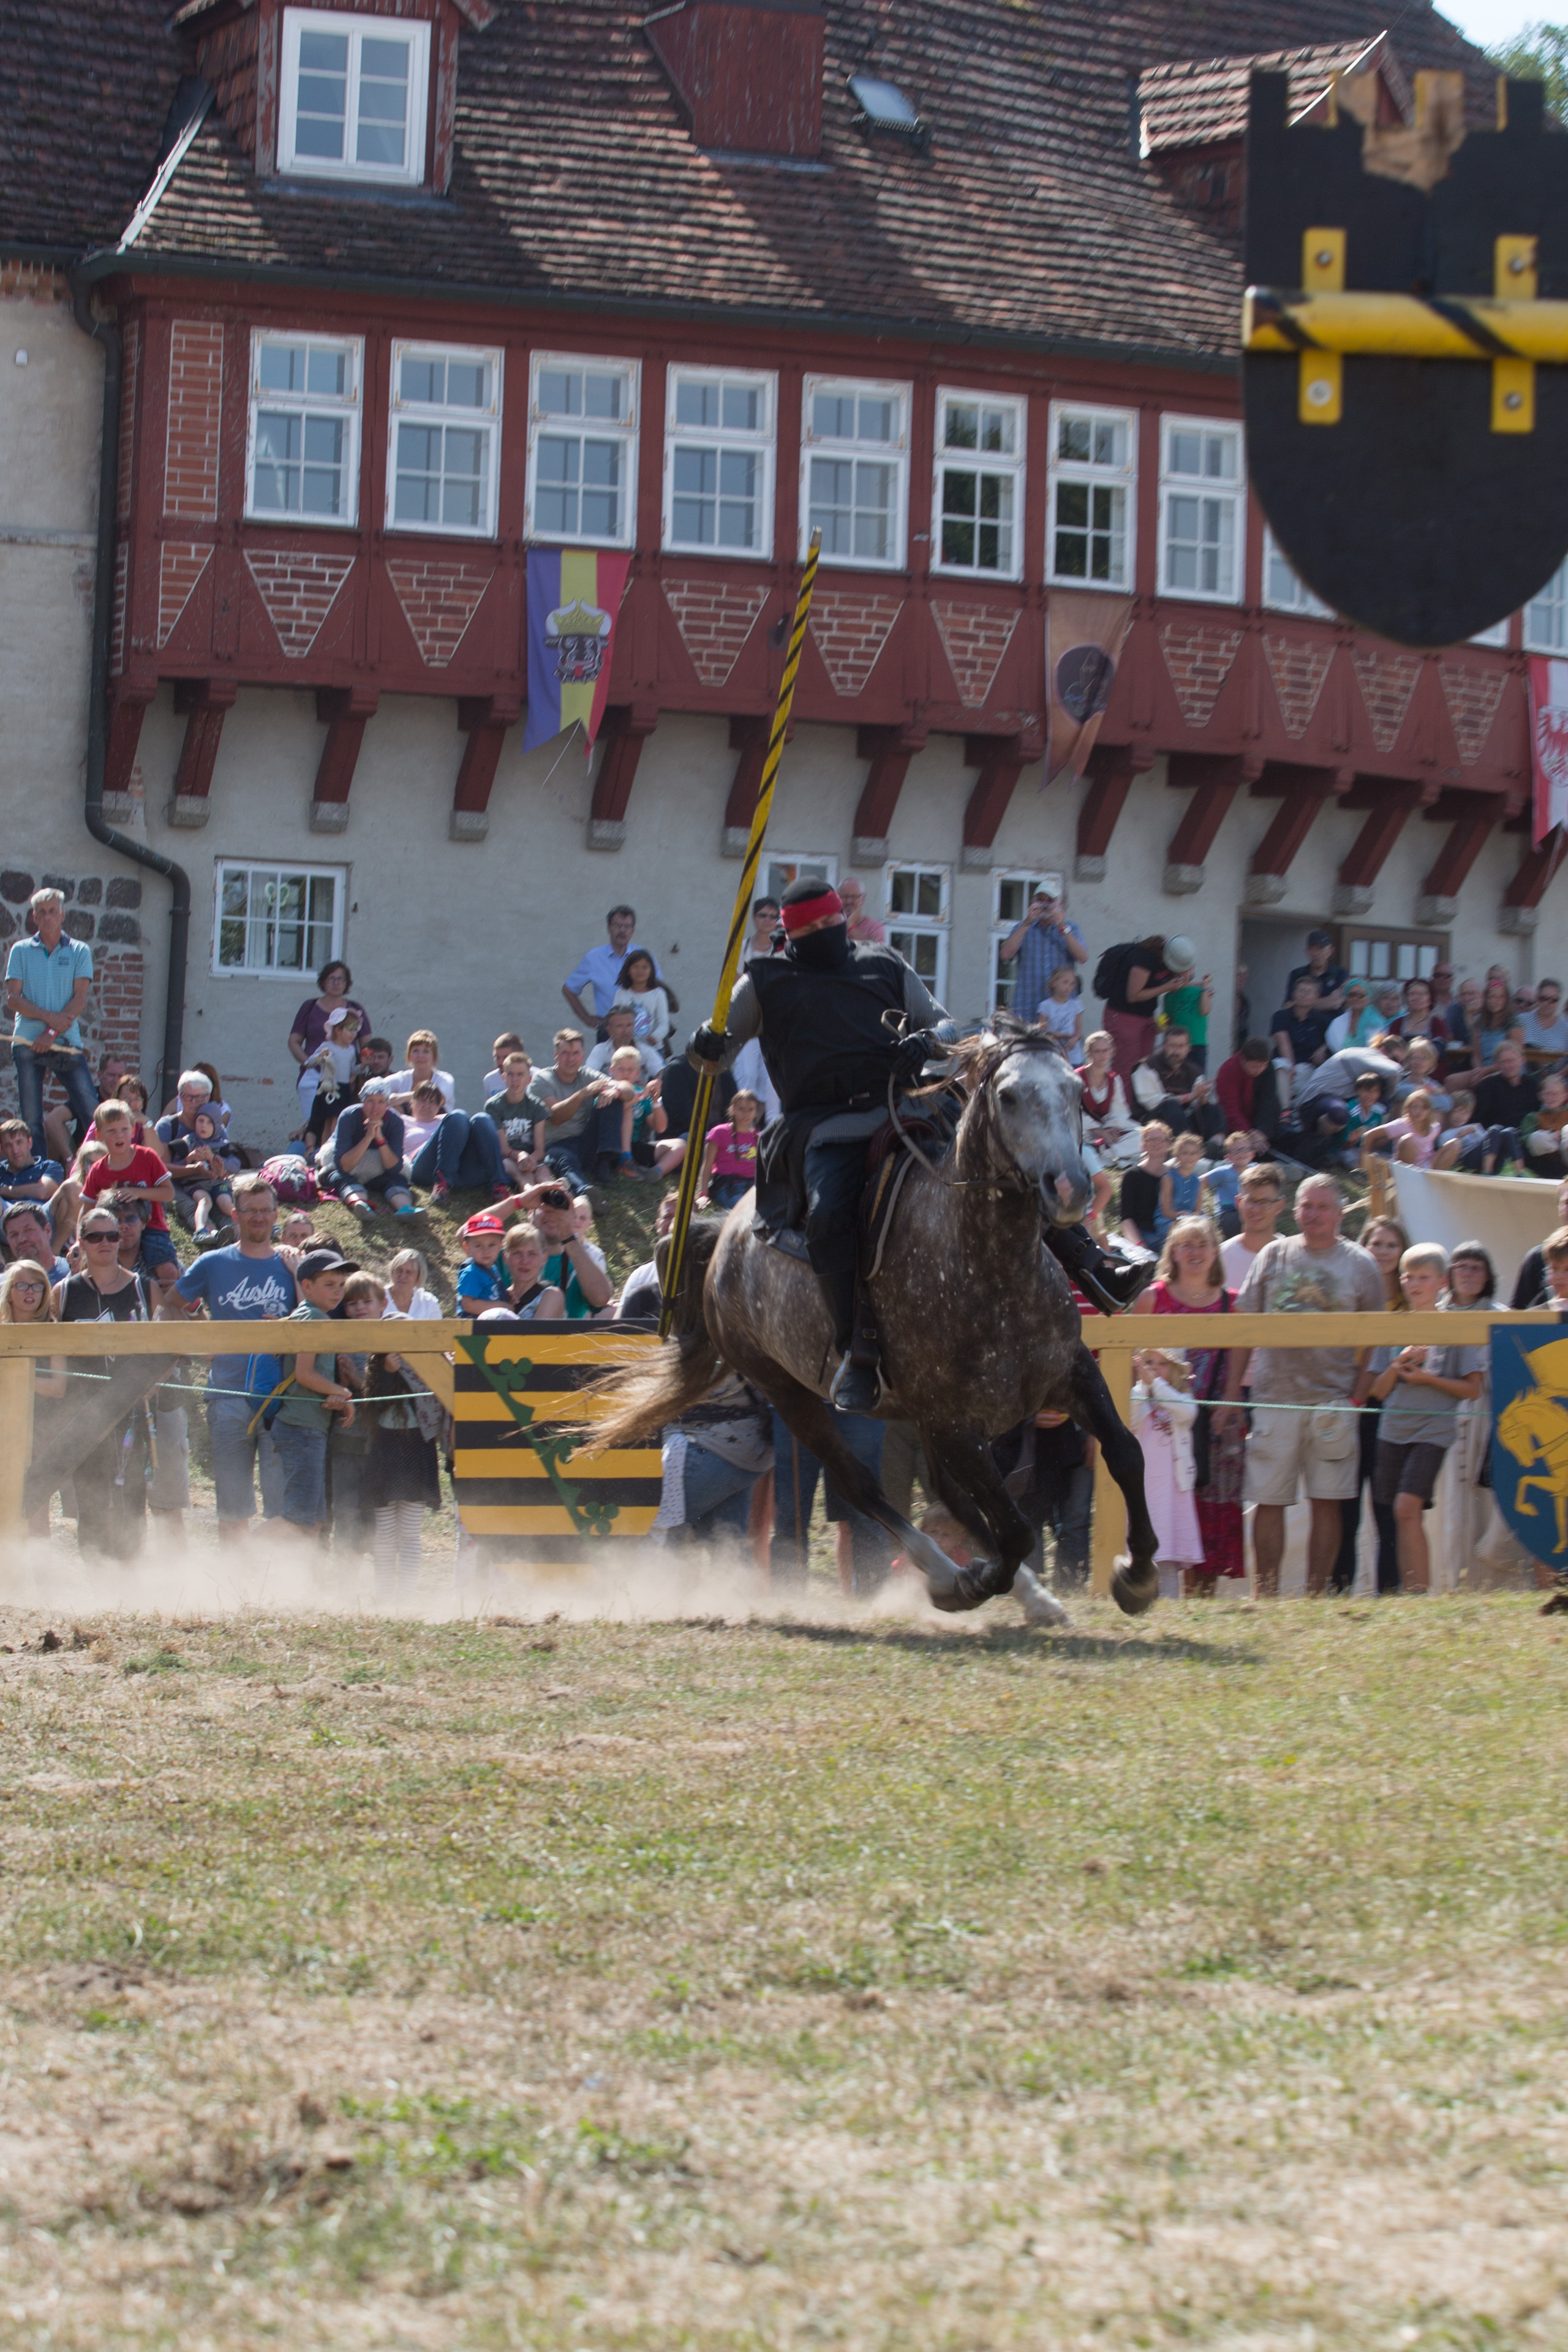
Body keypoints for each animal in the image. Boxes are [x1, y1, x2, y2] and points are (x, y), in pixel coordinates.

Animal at [589, 1025, 1160, 1619]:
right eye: (1008, 1097)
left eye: (1076, 1091)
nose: (1070, 1188)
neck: (986, 1268)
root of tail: (724, 1233)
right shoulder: (954, 1425)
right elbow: (1017, 1528)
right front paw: (977, 1581)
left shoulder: (1069, 1375)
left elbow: (1125, 1454)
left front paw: (1137, 1575)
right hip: (789, 1392)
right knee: (862, 1486)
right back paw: (948, 1575)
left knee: (947, 1495)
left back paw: (1021, 1592)